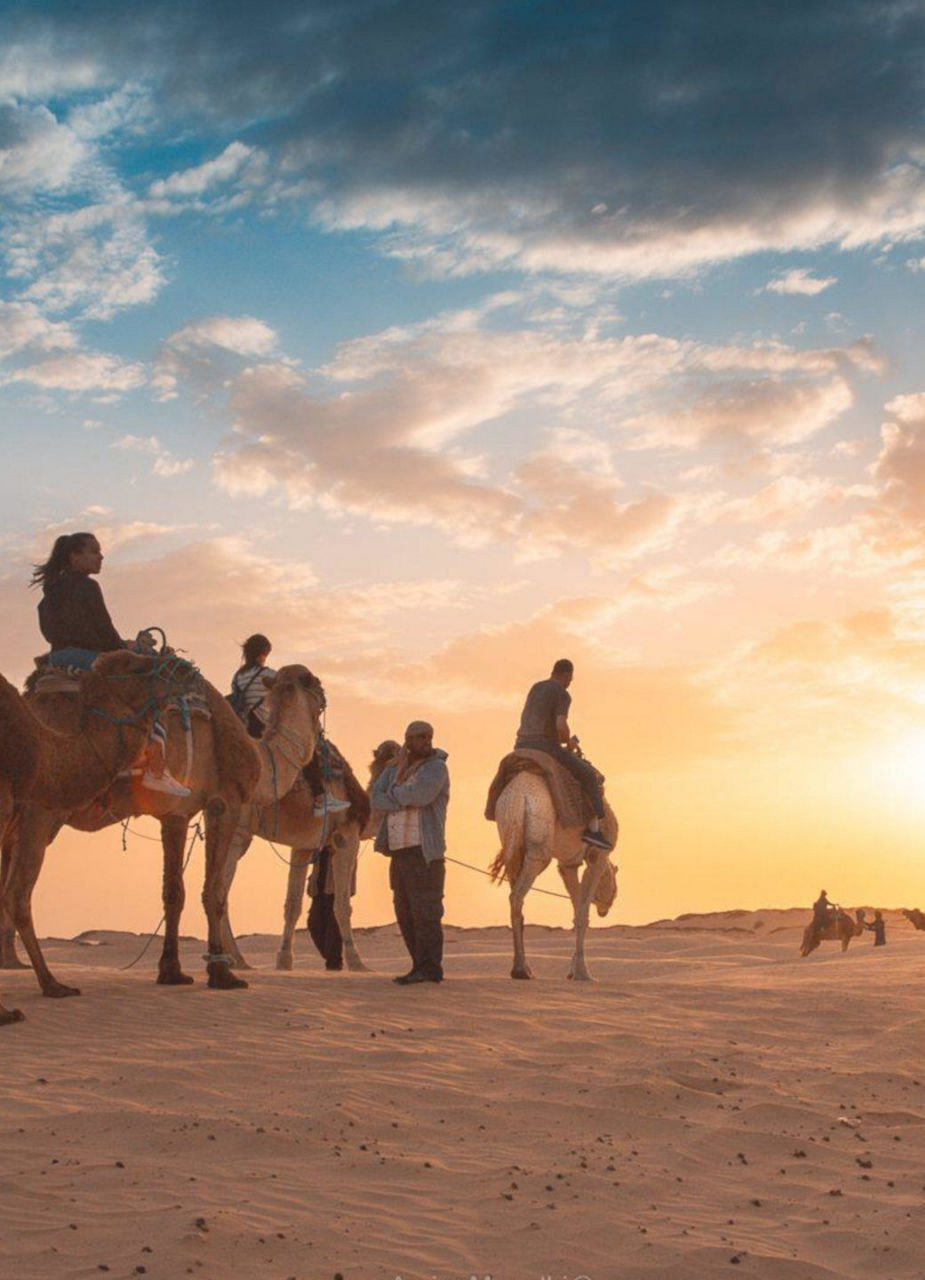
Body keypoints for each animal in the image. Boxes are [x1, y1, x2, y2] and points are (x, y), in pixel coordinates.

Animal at [5, 660, 323, 998]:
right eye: (315, 686)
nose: (323, 699)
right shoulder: (225, 802)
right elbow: (214, 892)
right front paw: (222, 974)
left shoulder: (176, 815)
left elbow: (173, 892)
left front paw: (171, 971)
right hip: (41, 809)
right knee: (17, 893)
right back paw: (52, 983)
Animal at [217, 742, 376, 967]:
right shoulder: (347, 836)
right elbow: (343, 905)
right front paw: (357, 963)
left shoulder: (303, 846)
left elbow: (293, 905)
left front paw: (284, 960)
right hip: (238, 830)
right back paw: (237, 961)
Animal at [488, 762, 619, 983]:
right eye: (615, 890)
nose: (605, 910)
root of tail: (517, 796)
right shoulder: (597, 858)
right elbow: (583, 912)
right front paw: (583, 973)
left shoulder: (567, 864)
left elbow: (577, 908)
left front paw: (573, 971)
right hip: (539, 851)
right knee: (516, 895)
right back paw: (520, 970)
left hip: (513, 844)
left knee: (515, 895)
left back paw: (523, 968)